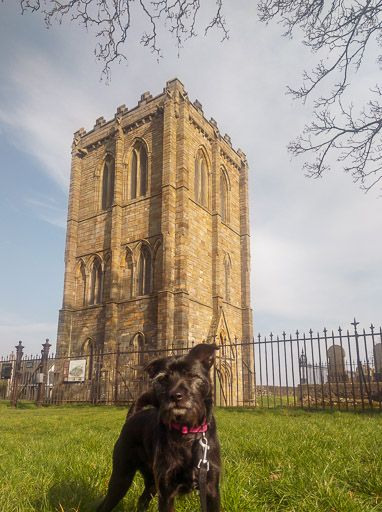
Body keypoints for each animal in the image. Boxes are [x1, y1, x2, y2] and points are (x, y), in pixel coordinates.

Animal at [95, 344, 221, 512]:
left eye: (191, 375)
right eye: (163, 379)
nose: (175, 395)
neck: (187, 432)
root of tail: (133, 416)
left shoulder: (211, 489)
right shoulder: (166, 491)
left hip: (151, 483)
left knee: (142, 500)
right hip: (121, 478)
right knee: (105, 505)